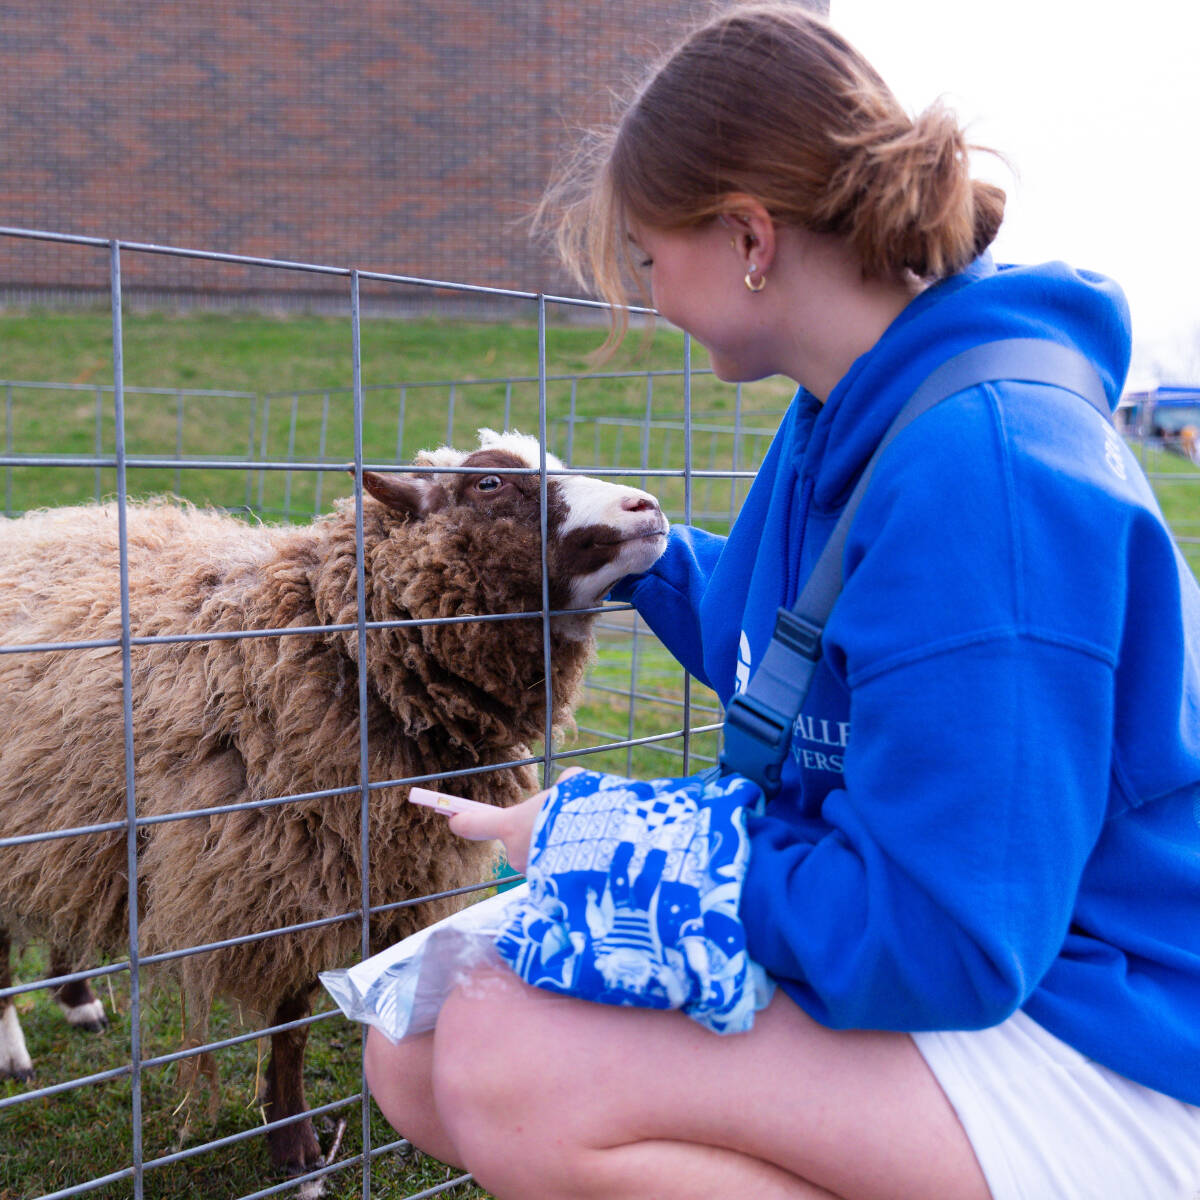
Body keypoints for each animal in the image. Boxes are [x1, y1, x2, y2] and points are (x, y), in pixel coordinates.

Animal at [0, 428, 668, 1186]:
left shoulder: (392, 871)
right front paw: (297, 1151)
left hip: (70, 808)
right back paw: (16, 1052)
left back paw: (77, 998)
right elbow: (291, 1023)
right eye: (488, 485)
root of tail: (35, 526)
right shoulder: (290, 879)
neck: (331, 638)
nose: (647, 507)